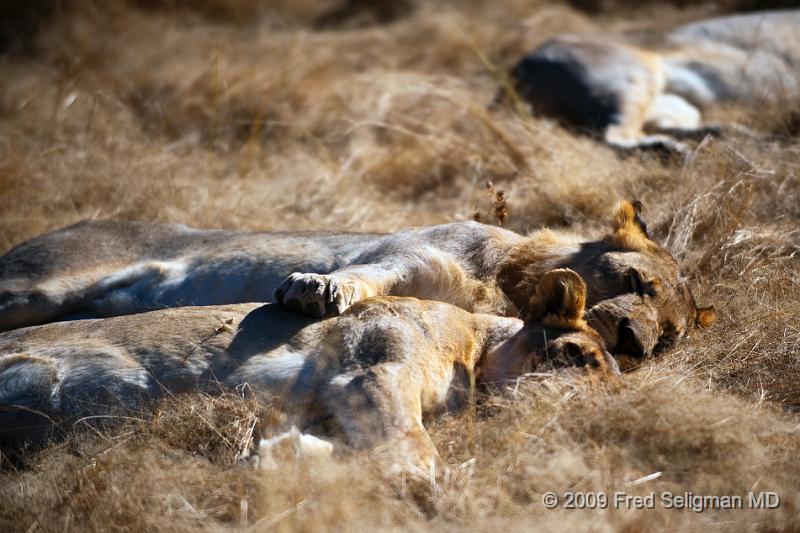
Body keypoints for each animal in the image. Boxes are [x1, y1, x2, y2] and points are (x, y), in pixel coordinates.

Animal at [0, 268, 620, 472]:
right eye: (576, 356)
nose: (585, 411)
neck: (475, 343)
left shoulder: (339, 407)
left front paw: (274, 460)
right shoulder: (373, 371)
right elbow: (414, 447)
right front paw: (424, 494)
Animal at [506, 10, 800, 152]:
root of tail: (520, 65)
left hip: (677, 106)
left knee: (678, 128)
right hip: (632, 80)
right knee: (614, 136)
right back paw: (671, 151)